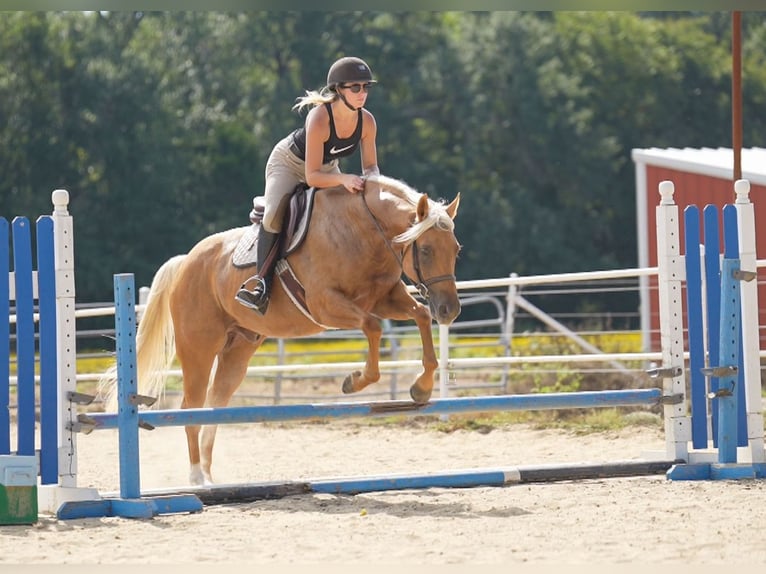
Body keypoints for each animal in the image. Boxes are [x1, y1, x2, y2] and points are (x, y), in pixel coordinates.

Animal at [101, 174, 461, 485]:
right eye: (426, 250)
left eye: (456, 250)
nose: (450, 310)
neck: (362, 230)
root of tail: (185, 262)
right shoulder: (326, 304)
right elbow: (372, 327)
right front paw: (355, 381)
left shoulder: (385, 298)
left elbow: (419, 315)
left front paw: (422, 387)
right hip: (199, 350)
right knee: (192, 407)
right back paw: (196, 477)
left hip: (238, 351)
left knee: (216, 404)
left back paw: (209, 475)